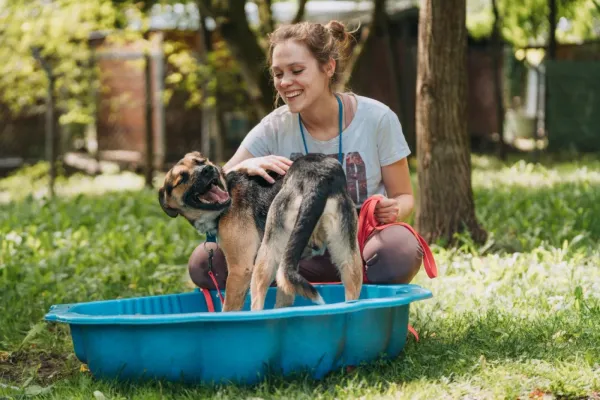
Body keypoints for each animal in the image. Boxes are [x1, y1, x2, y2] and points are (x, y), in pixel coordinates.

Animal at [158, 152, 360, 310]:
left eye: (201, 161)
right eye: (182, 178)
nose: (208, 169)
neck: (228, 191)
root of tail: (317, 176)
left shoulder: (240, 269)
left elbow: (229, 308)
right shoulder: (288, 264)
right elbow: (284, 298)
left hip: (264, 260)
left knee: (257, 306)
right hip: (348, 259)